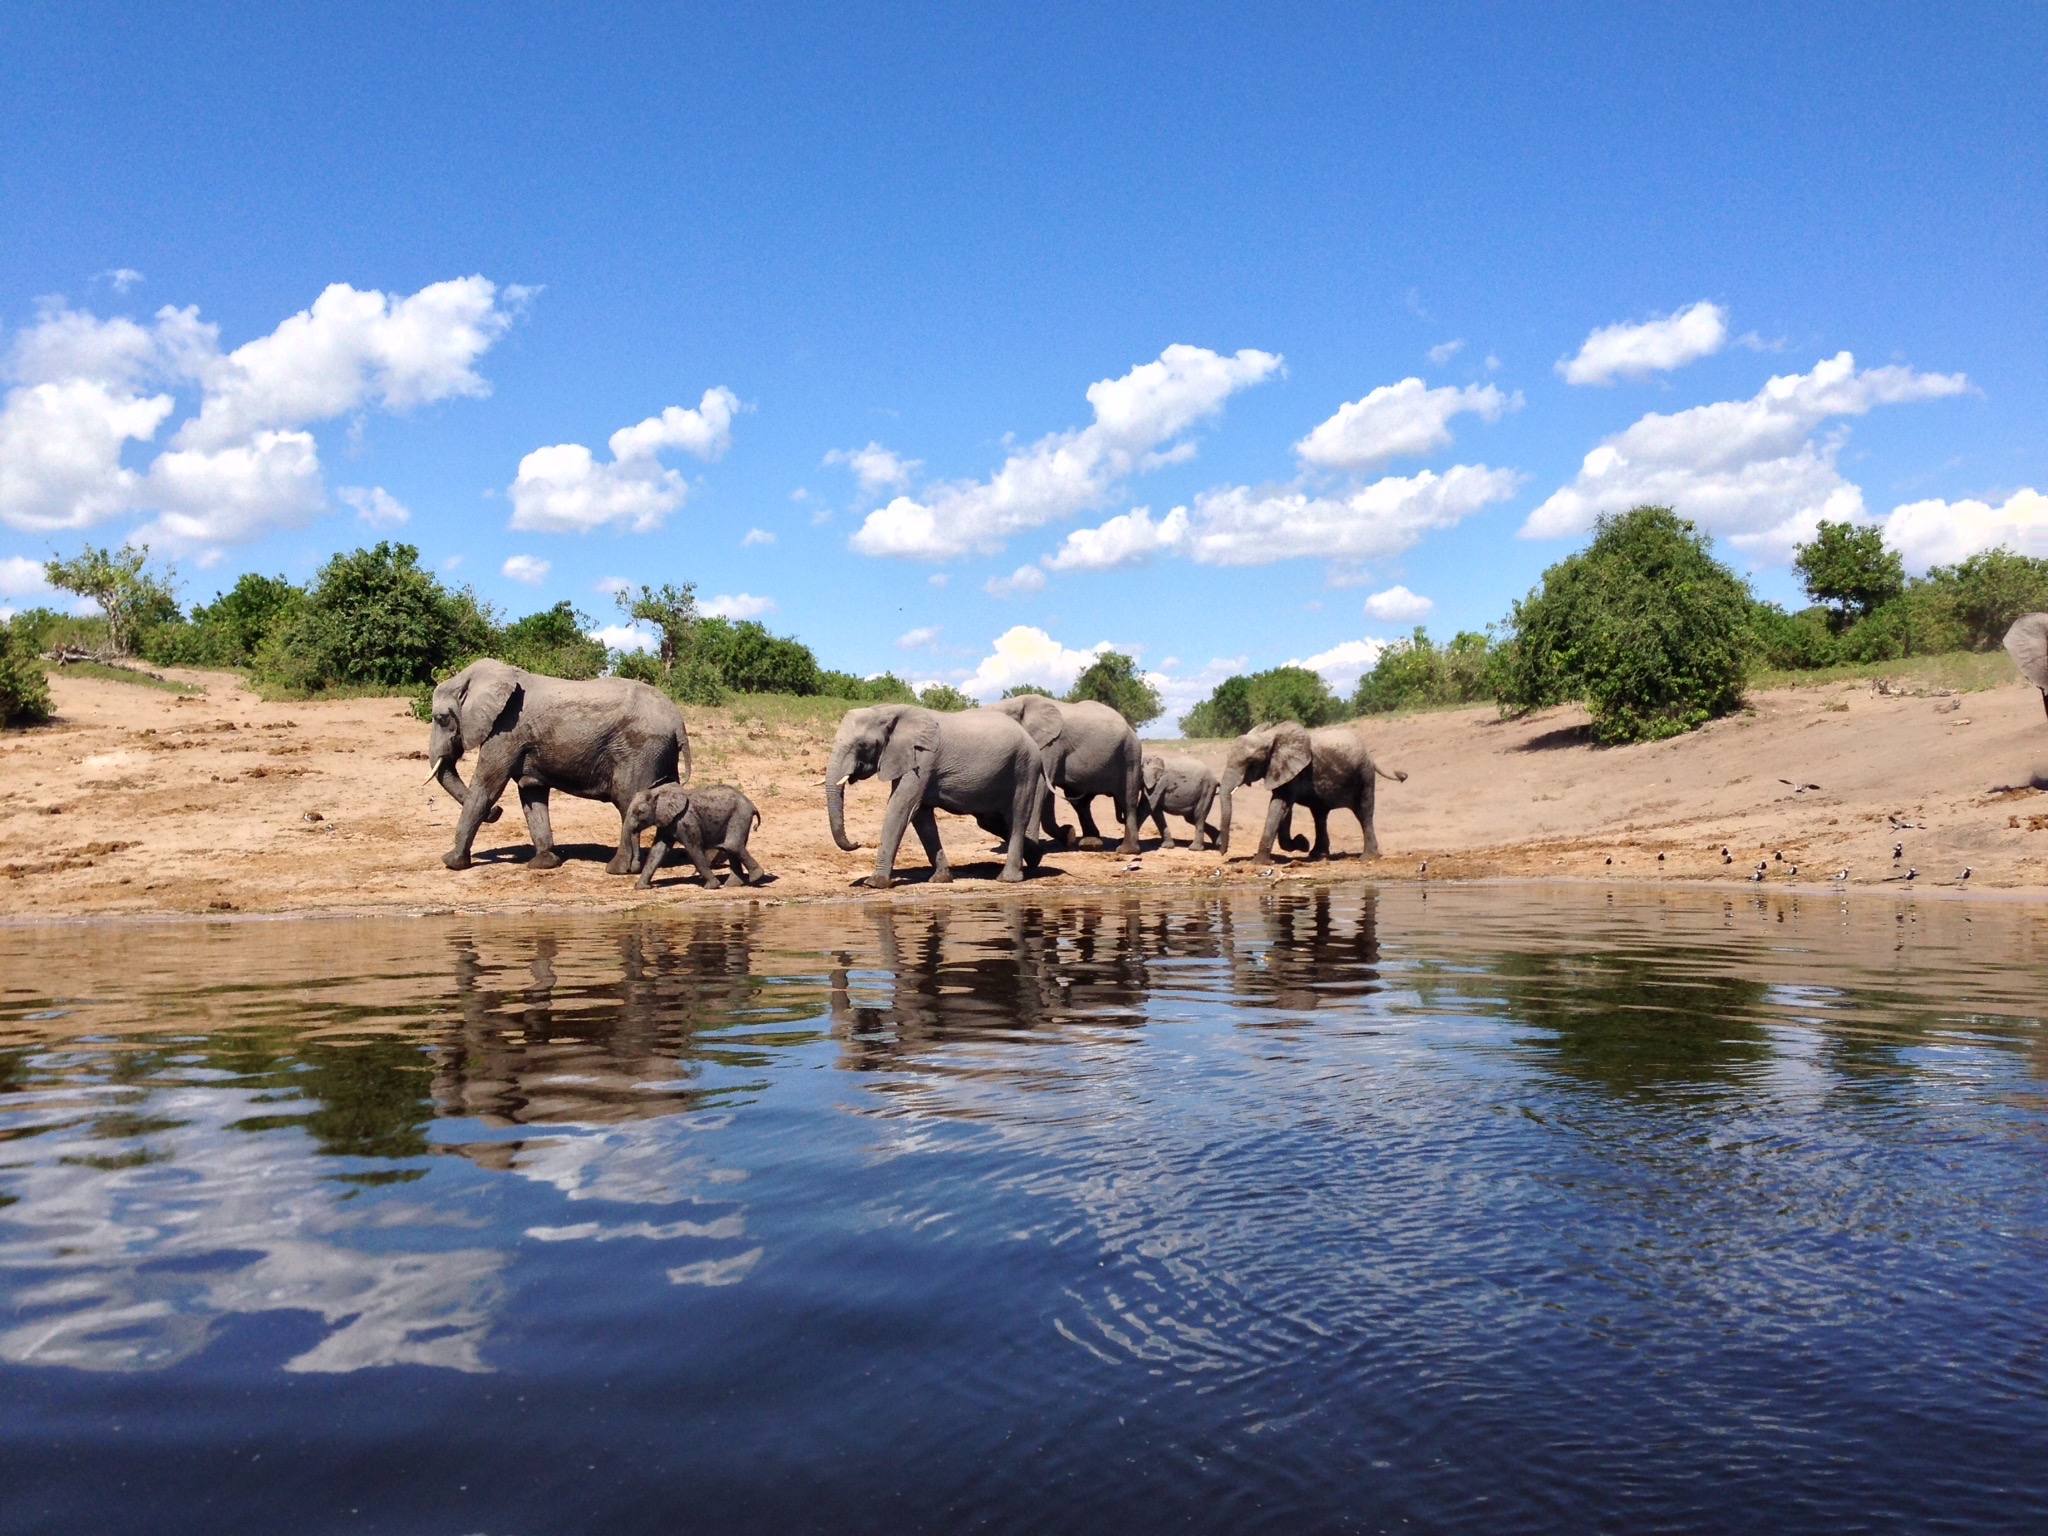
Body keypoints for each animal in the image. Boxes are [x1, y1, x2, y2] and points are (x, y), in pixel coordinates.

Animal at [428, 659, 692, 876]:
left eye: (441, 718)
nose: (499, 812)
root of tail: (679, 723)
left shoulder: (504, 732)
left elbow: (486, 789)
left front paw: (451, 862)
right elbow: (532, 794)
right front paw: (544, 864)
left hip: (639, 750)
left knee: (627, 801)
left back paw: (620, 869)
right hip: (660, 754)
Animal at [622, 782, 770, 888]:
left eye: (639, 812)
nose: (632, 868)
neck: (657, 791)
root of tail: (752, 805)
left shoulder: (686, 821)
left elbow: (693, 849)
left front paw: (712, 886)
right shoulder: (666, 822)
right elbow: (657, 851)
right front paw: (641, 887)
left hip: (740, 815)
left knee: (732, 845)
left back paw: (756, 877)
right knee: (730, 848)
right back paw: (733, 885)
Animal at [827, 700, 1048, 888]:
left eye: (862, 745)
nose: (857, 843)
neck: (886, 710)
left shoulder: (922, 759)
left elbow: (901, 807)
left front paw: (874, 883)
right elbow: (921, 817)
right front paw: (941, 879)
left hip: (1025, 767)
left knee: (1017, 818)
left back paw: (1008, 879)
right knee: (993, 821)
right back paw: (1035, 858)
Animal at [995, 696, 1146, 856]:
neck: (1016, 702)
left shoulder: (1051, 745)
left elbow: (1039, 788)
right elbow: (1046, 794)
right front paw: (1069, 836)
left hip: (1130, 754)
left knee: (1127, 800)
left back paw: (1126, 850)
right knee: (1081, 803)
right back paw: (1090, 844)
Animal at [1212, 720, 1409, 868]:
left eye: (1250, 762)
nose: (1222, 851)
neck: (1269, 736)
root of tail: (1370, 757)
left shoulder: (1292, 769)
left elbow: (1279, 805)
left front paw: (1261, 862)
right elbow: (1284, 809)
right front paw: (1301, 844)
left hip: (1364, 775)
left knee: (1364, 813)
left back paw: (1367, 858)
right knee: (1320, 815)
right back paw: (1318, 855)